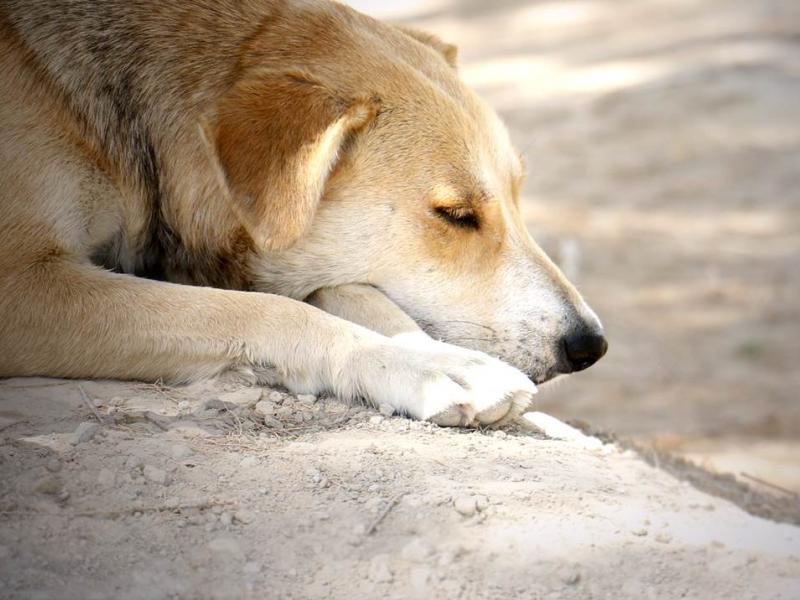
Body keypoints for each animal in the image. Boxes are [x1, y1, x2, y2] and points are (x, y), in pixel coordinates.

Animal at [0, 0, 604, 426]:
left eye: (519, 194)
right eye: (456, 214)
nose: (590, 346)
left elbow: (356, 295)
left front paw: (433, 355)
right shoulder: (21, 284)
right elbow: (266, 312)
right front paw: (426, 370)